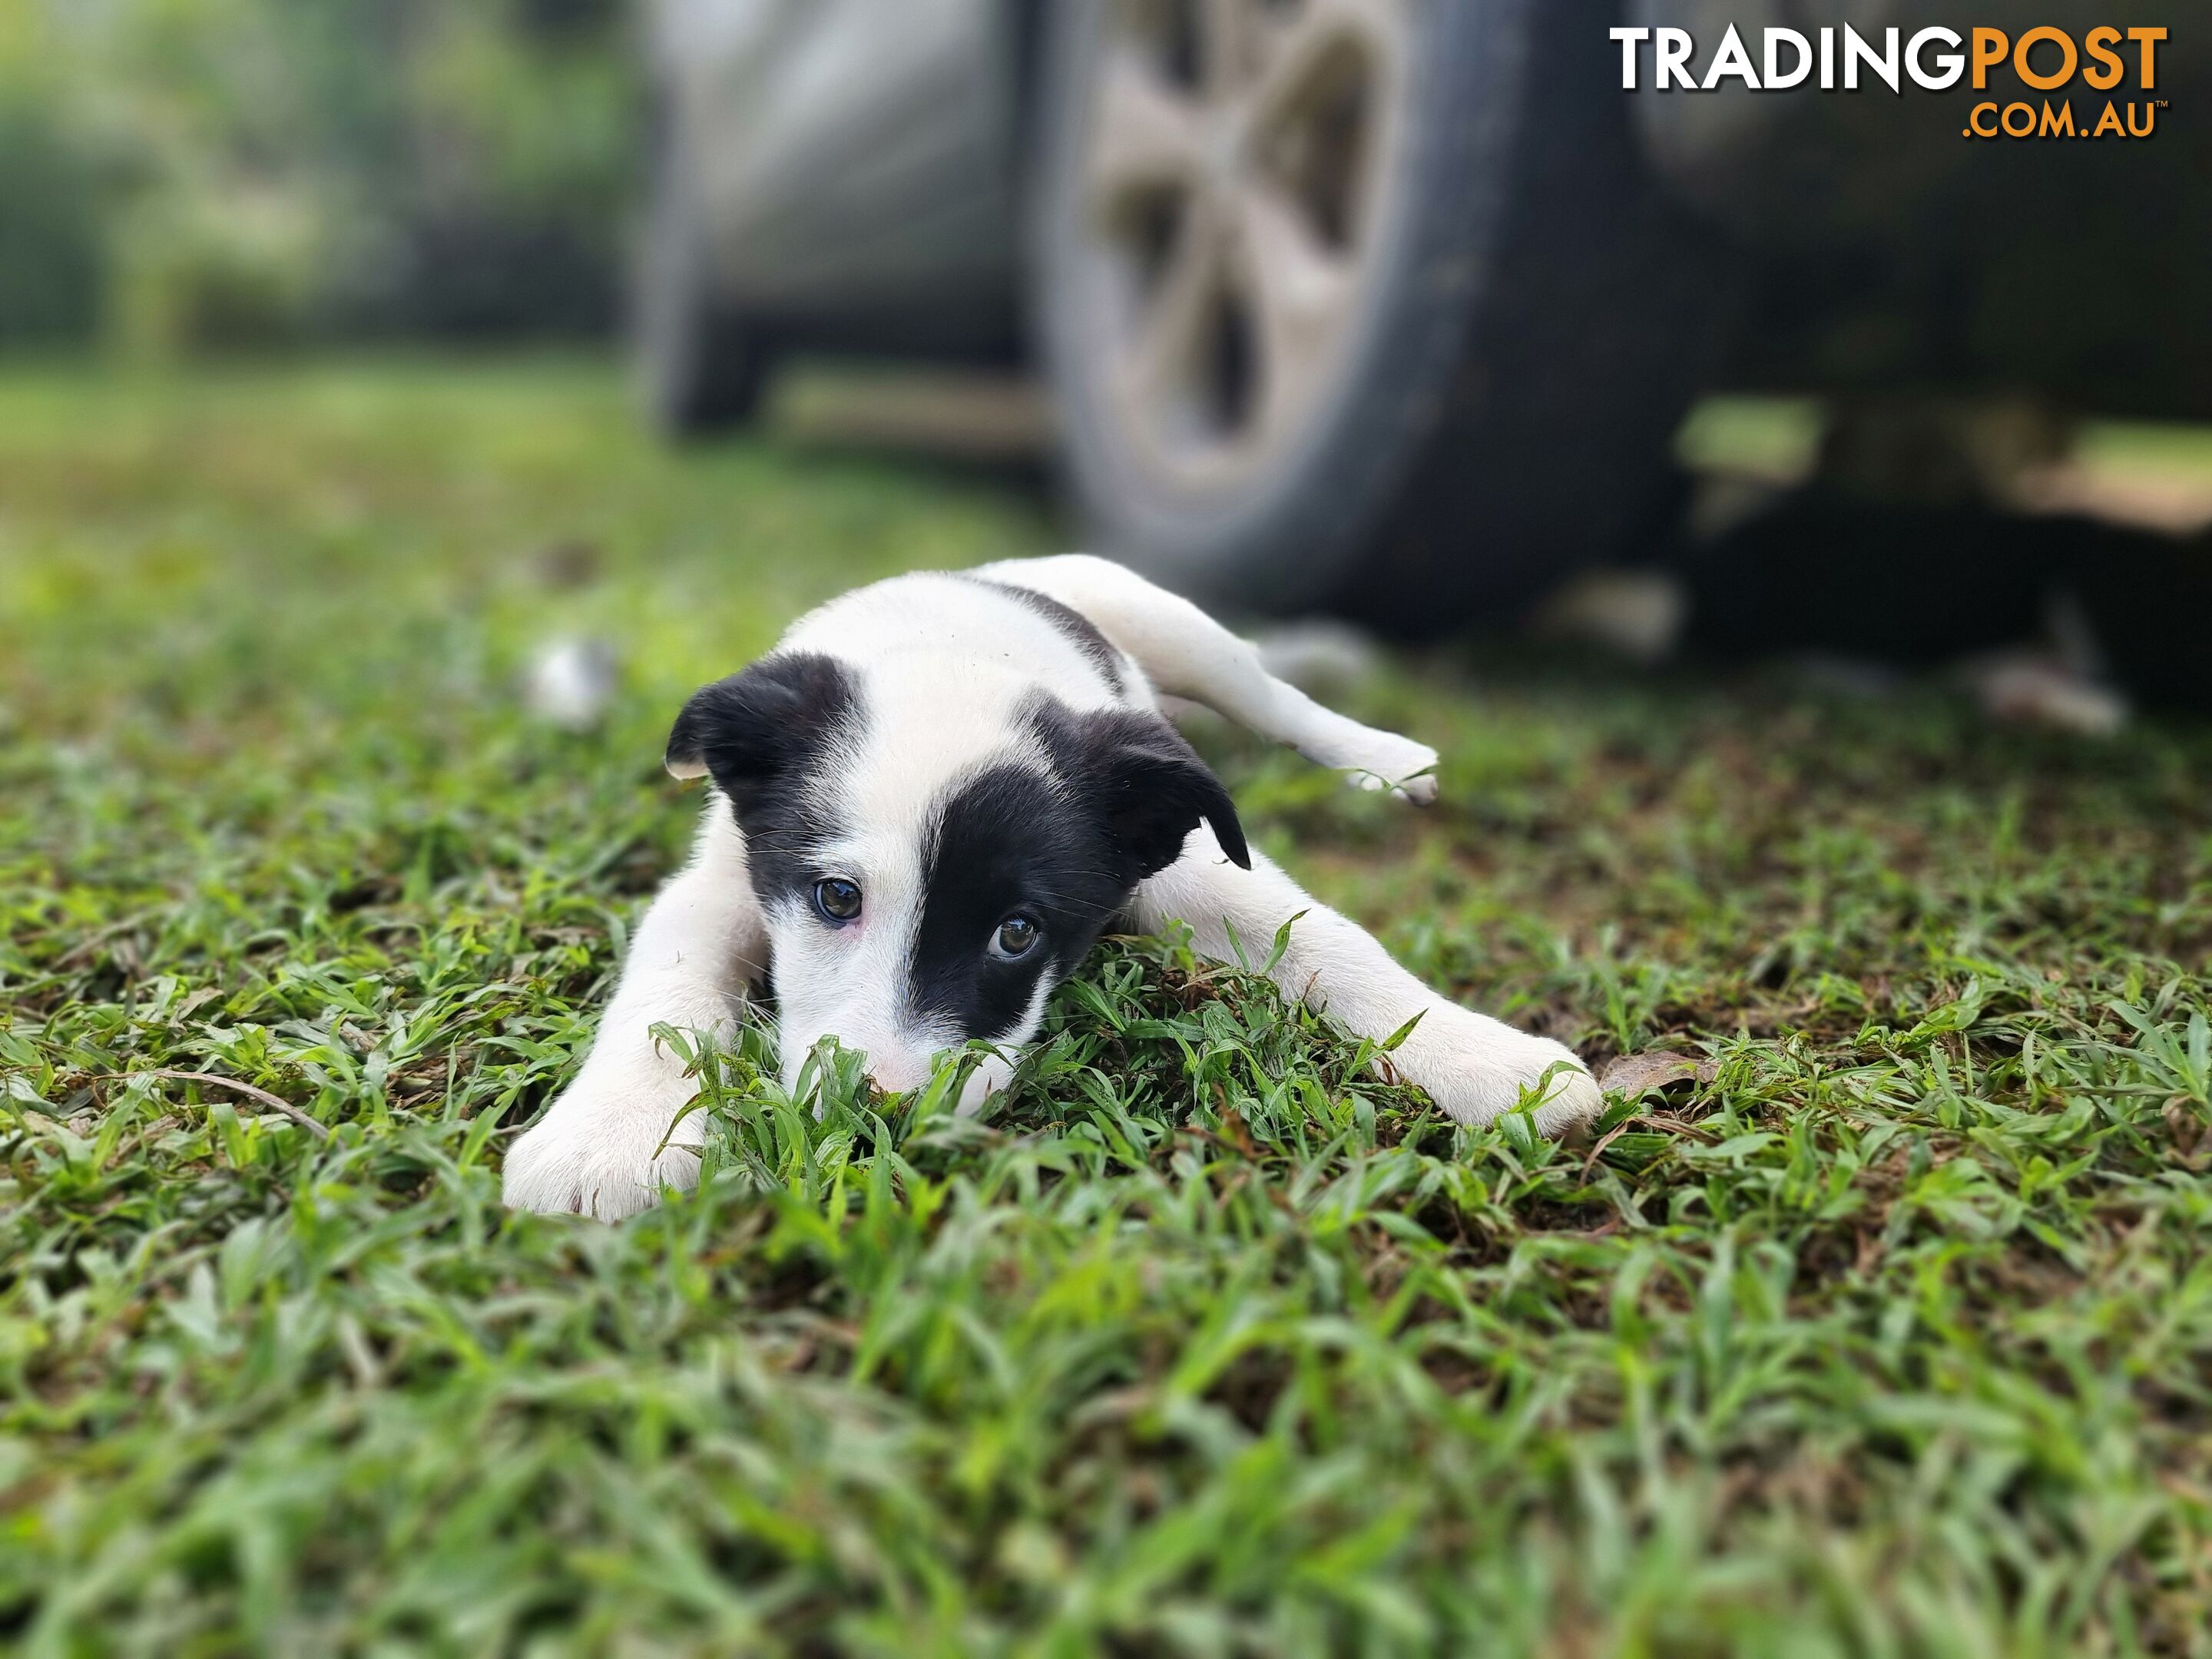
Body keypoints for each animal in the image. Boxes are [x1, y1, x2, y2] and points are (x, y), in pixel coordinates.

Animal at [506, 559, 1601, 1220]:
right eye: (835, 901)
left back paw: (1381, 760)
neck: (951, 659)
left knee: (1275, 695)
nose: (884, 1112)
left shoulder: (1186, 865)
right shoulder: (724, 879)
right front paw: (609, 1138)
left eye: (1018, 934)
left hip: (1175, 627)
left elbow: (1325, 938)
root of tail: (1003, 574)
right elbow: (666, 993)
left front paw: (1488, 1059)